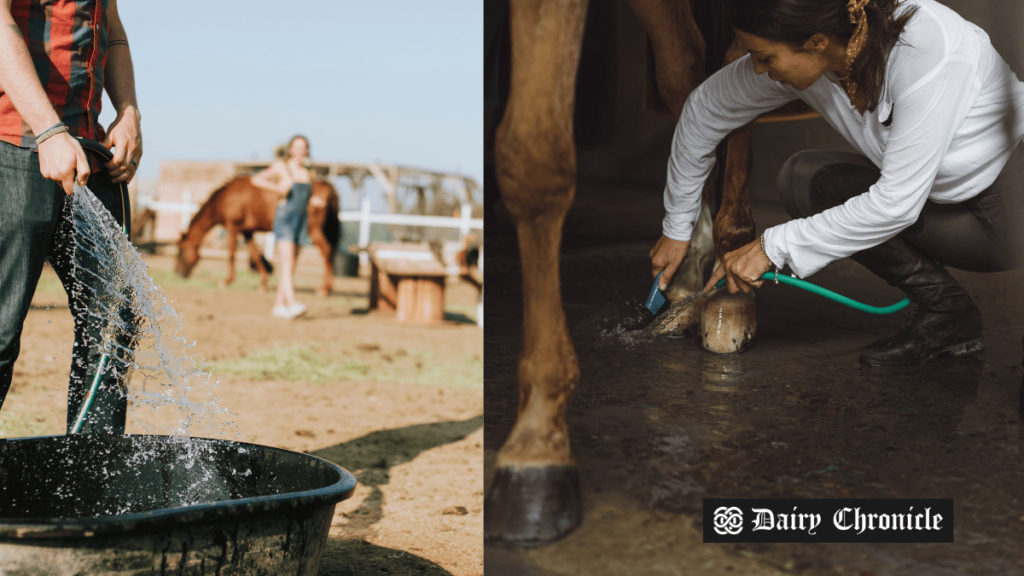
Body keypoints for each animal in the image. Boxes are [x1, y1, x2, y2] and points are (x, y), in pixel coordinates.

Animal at [172, 172, 339, 293]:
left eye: (181, 250)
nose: (178, 273)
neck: (227, 196)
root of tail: (326, 185)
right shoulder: (247, 232)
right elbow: (256, 255)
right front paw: (263, 284)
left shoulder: (232, 227)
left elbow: (231, 255)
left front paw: (226, 281)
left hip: (313, 229)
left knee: (326, 251)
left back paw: (325, 289)